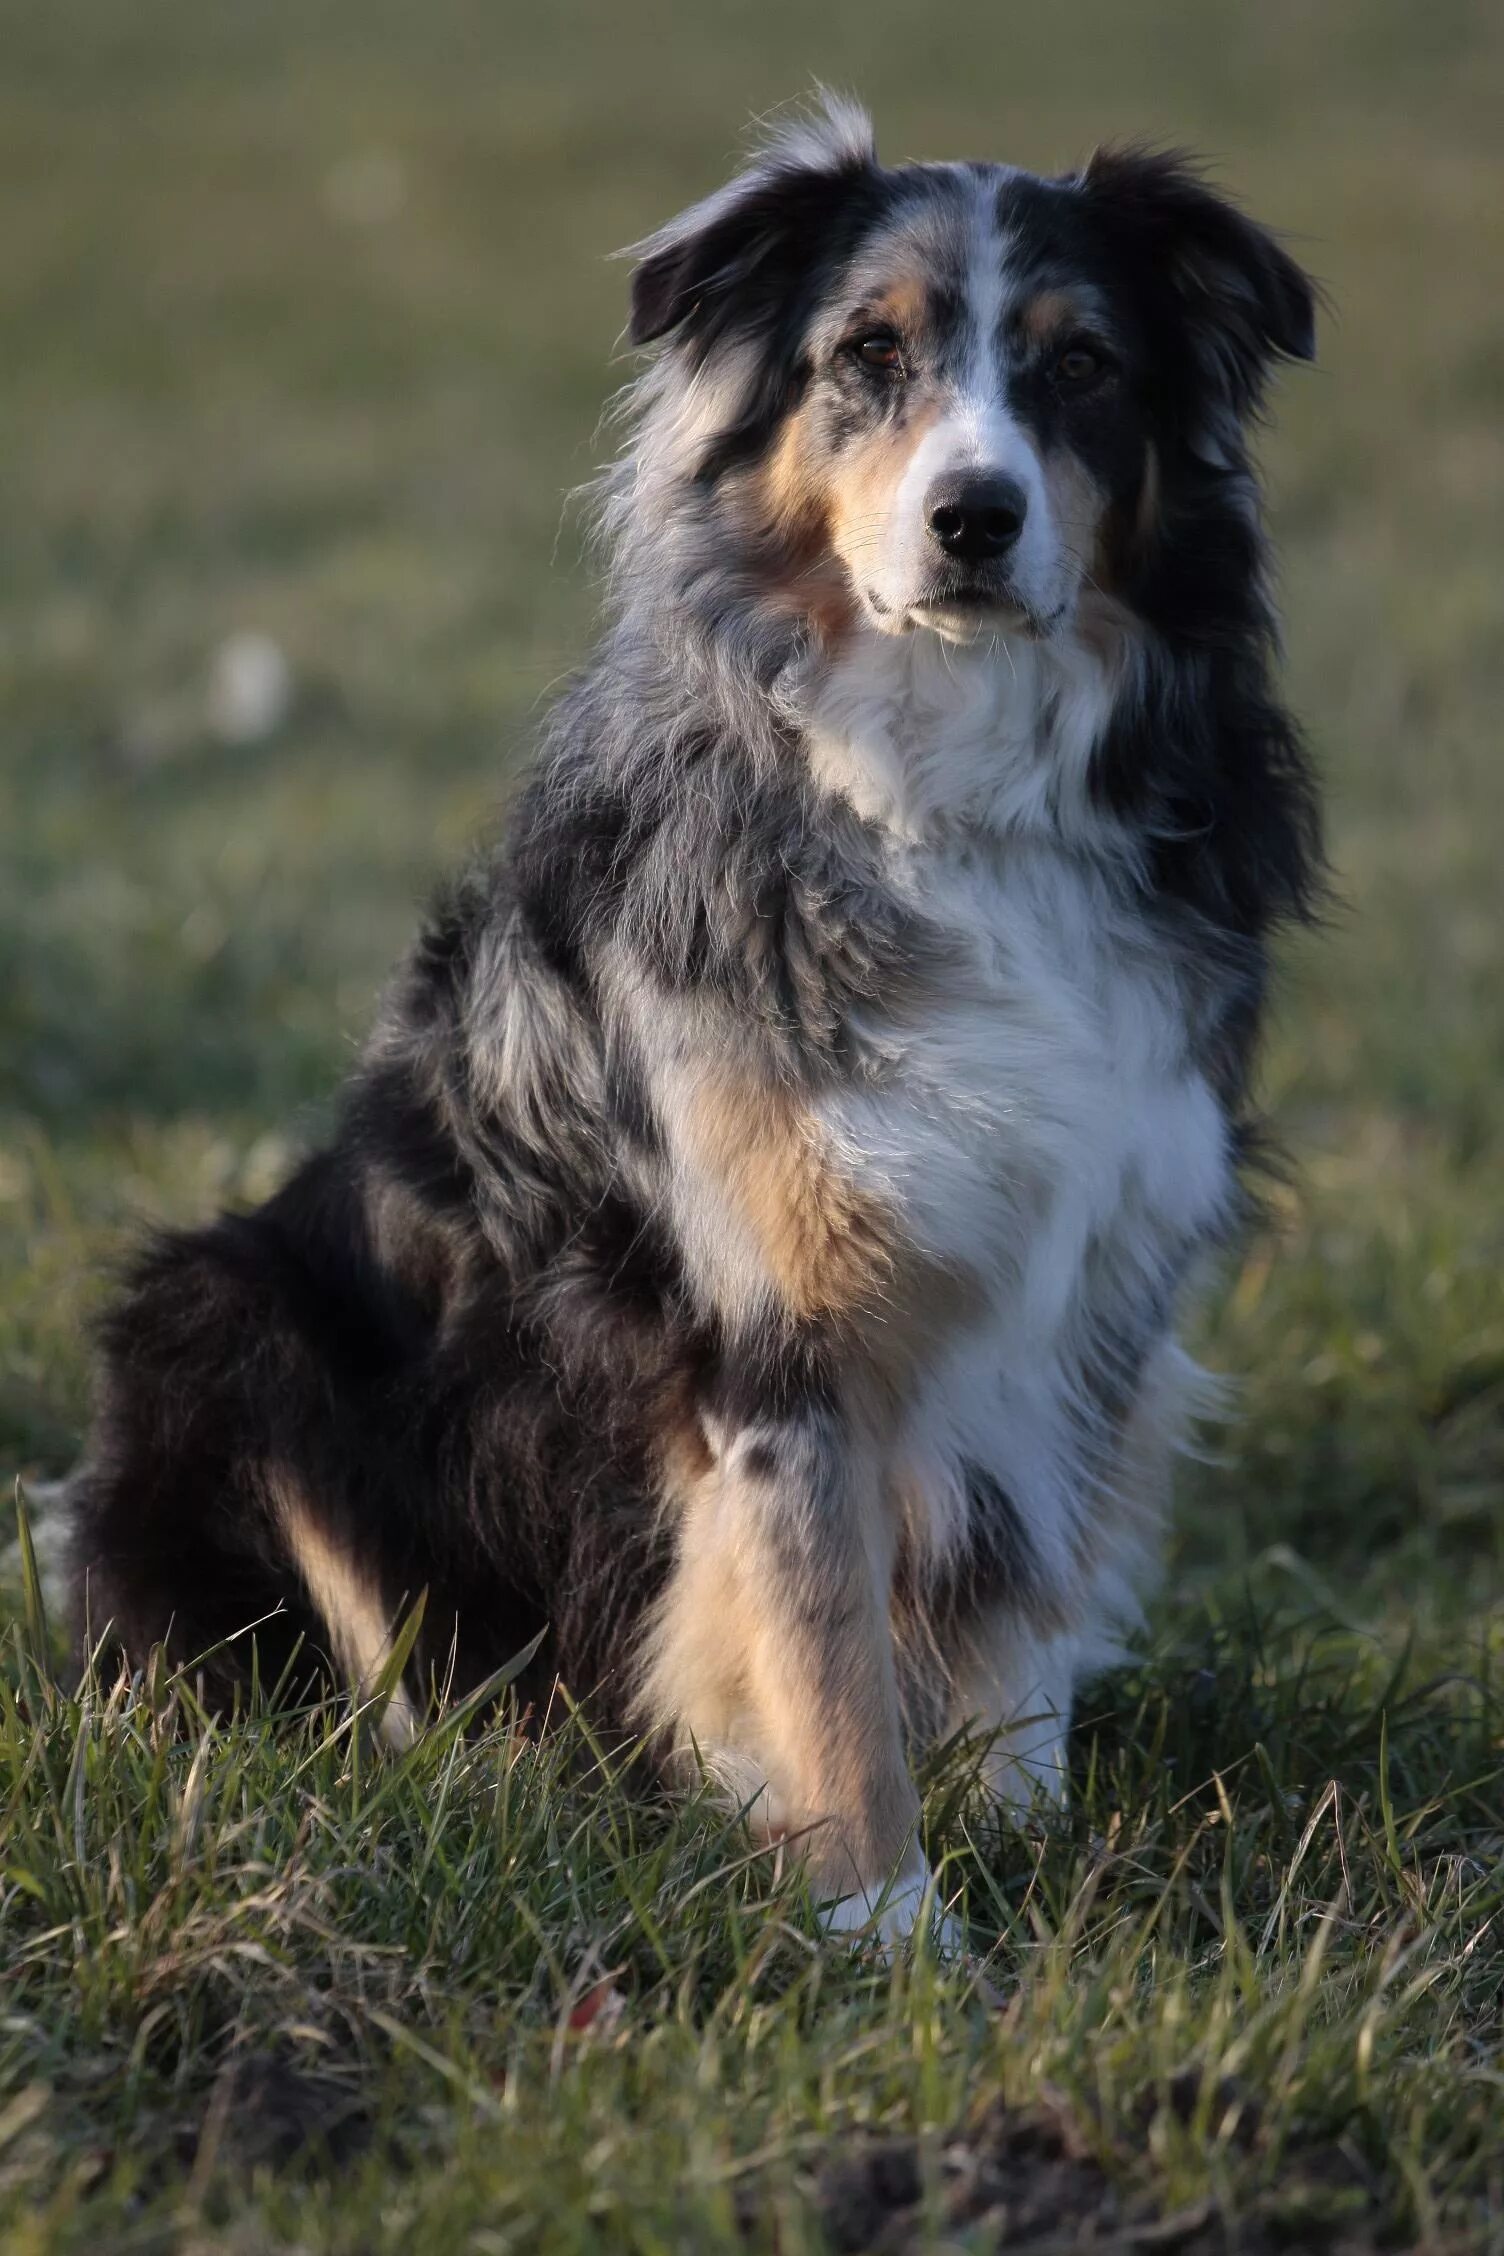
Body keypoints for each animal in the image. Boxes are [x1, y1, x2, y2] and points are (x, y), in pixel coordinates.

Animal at [67, 101, 1316, 1940]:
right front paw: (887, 1925)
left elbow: (1022, 1593)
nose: (973, 517)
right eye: (865, 357)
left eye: (1080, 365)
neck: (952, 788)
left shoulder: (1093, 1275)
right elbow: (818, 1639)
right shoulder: (769, 1318)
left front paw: (1023, 1840)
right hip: (231, 1312)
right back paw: (489, 1784)